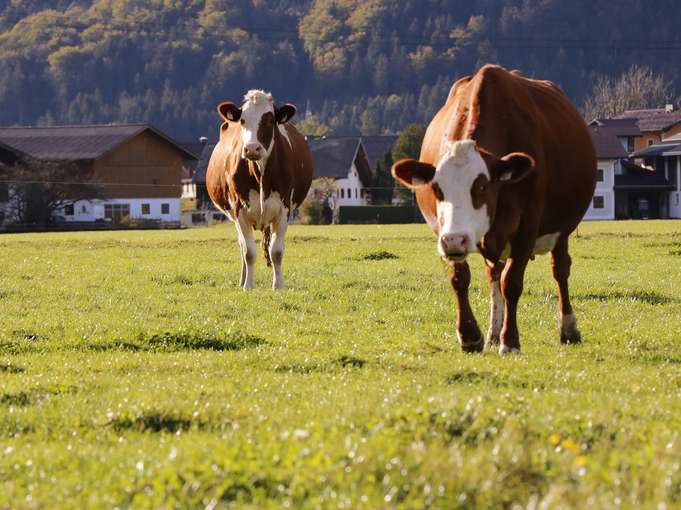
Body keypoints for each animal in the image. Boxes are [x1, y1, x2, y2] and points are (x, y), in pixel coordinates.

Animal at [207, 89, 314, 288]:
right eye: (242, 120)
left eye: (270, 120)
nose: (251, 148)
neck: (261, 175)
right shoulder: (239, 209)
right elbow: (249, 252)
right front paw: (248, 285)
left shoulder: (284, 209)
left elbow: (276, 251)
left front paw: (278, 285)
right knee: (242, 246)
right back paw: (242, 280)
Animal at [394, 65, 596, 356]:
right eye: (437, 189)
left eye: (481, 186)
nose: (454, 240)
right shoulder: (446, 231)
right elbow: (460, 278)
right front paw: (470, 335)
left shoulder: (527, 227)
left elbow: (511, 282)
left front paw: (510, 341)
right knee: (494, 273)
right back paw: (492, 332)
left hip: (561, 229)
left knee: (560, 270)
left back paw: (567, 328)